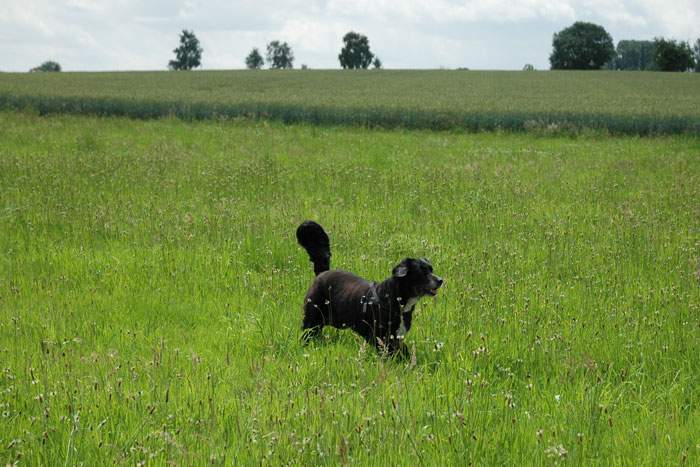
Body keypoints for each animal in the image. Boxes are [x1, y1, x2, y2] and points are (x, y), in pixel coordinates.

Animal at [296, 221, 442, 356]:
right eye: (422, 272)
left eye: (431, 269)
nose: (441, 280)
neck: (395, 300)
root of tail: (322, 273)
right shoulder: (380, 337)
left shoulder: (395, 337)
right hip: (312, 319)